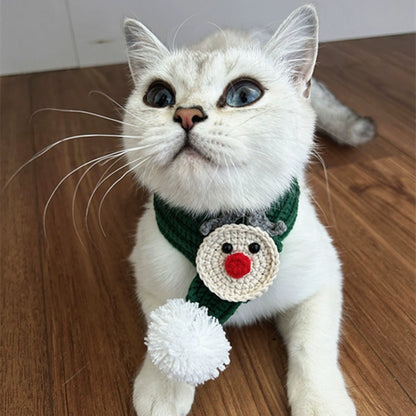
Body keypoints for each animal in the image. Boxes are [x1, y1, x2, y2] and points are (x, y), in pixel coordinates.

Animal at [121, 4, 370, 416]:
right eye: (158, 96)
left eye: (244, 94)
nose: (186, 114)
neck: (225, 219)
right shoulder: (150, 281)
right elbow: (160, 331)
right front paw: (163, 387)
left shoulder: (322, 283)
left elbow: (312, 348)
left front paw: (321, 402)